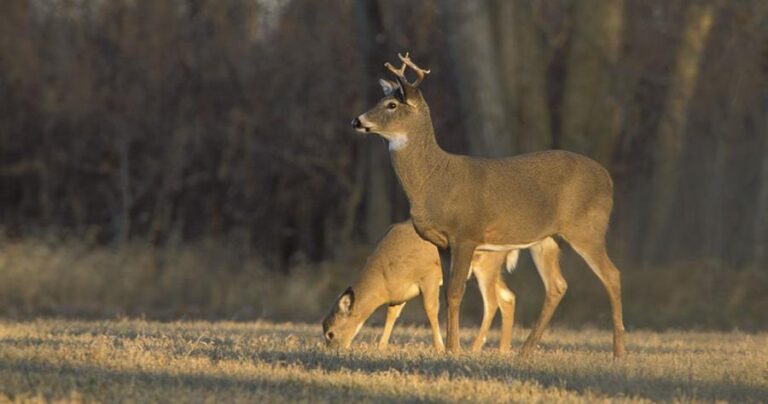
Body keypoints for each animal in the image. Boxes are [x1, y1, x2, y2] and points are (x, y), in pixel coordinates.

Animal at [323, 220, 518, 352]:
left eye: (330, 333)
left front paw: (439, 347)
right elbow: (392, 314)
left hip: (486, 265)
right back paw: (503, 350)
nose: (333, 351)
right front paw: (381, 346)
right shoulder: (399, 292)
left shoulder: (429, 275)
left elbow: (430, 309)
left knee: (492, 303)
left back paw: (474, 348)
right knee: (508, 297)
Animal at [351, 53, 625, 358]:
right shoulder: (442, 244)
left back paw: (618, 351)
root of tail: (608, 179)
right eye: (381, 99)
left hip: (586, 227)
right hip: (547, 240)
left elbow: (455, 292)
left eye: (391, 104)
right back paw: (525, 350)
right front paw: (450, 346)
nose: (357, 120)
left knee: (612, 275)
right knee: (557, 286)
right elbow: (447, 293)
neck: (434, 181)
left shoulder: (466, 234)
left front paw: (454, 349)